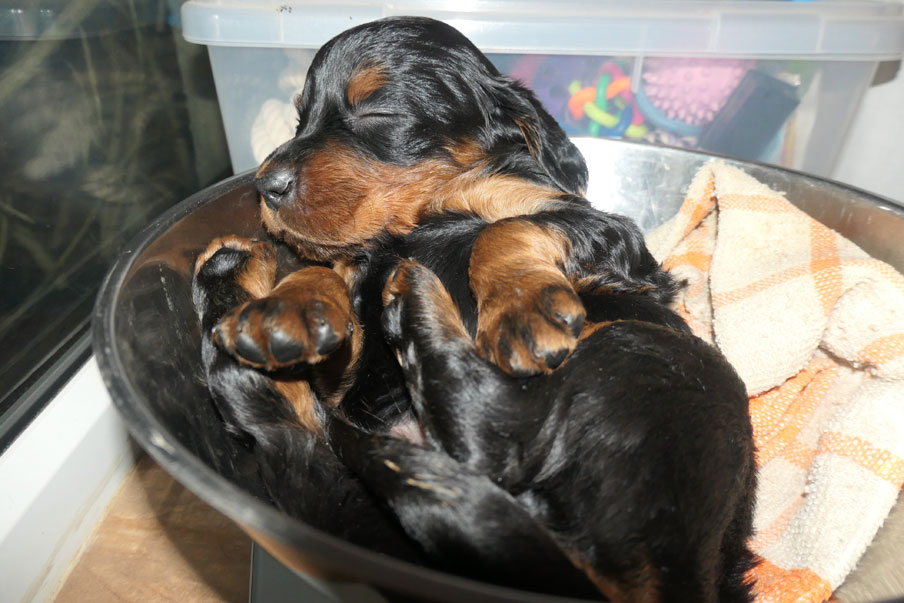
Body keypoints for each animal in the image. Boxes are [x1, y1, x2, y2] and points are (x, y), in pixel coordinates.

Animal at [191, 16, 757, 601]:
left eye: (376, 111)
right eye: (300, 118)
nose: (266, 185)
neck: (417, 218)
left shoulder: (609, 234)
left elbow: (502, 229)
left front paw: (522, 308)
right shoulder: (349, 377)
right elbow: (331, 277)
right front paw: (286, 307)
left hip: (642, 357)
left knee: (489, 441)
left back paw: (411, 298)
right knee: (297, 437)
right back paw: (234, 272)